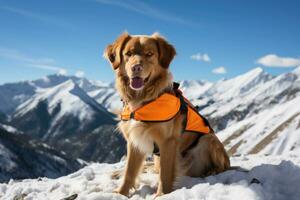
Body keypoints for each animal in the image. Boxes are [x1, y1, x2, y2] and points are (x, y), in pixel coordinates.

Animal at [103, 32, 230, 196]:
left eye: (149, 54)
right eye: (128, 54)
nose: (136, 67)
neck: (144, 100)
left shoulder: (167, 141)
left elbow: (165, 174)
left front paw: (161, 195)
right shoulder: (134, 139)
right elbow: (129, 171)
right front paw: (120, 193)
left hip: (209, 139)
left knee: (224, 165)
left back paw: (212, 170)